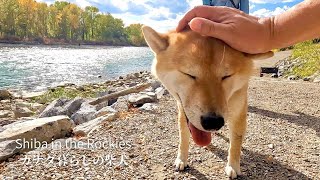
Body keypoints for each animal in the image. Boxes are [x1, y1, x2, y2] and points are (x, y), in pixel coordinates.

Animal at [142, 25, 272, 179]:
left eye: (226, 76)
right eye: (189, 74)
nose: (213, 122)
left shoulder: (238, 113)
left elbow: (235, 143)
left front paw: (233, 166)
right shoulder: (183, 110)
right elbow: (183, 136)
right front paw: (181, 159)